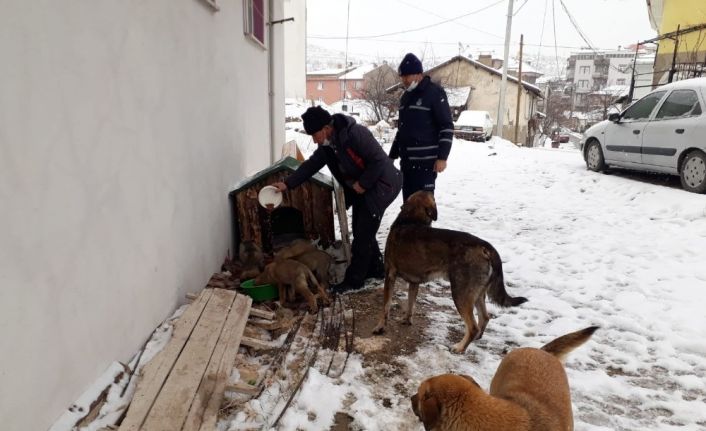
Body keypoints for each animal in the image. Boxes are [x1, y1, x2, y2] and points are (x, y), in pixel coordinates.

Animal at [372, 192, 524, 354]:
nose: (430, 189)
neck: (410, 220)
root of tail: (484, 246)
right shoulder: (414, 282)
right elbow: (410, 303)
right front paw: (407, 320)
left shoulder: (390, 275)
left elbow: (386, 306)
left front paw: (380, 327)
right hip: (477, 293)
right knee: (485, 317)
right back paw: (475, 339)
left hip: (460, 293)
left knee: (473, 327)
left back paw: (459, 347)